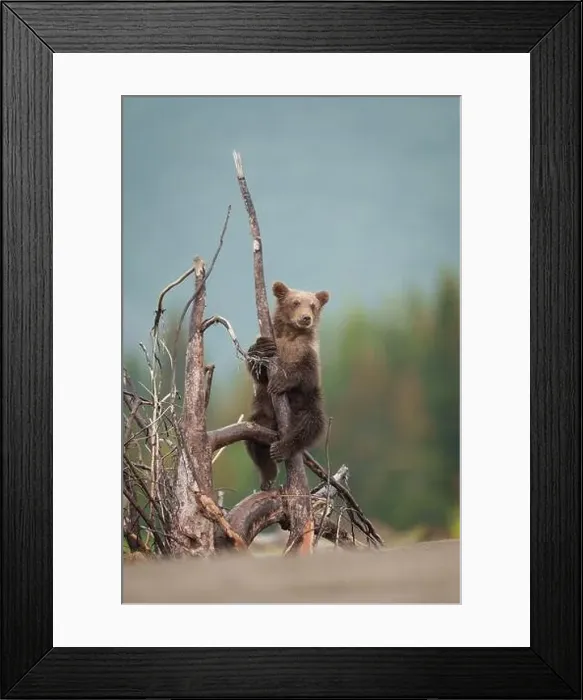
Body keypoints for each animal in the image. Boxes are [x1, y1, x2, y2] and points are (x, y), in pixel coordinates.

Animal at [244, 281, 330, 490]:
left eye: (313, 305)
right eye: (295, 302)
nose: (306, 318)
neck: (292, 335)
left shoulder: (308, 354)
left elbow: (305, 375)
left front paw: (280, 382)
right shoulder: (275, 343)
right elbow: (257, 371)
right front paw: (262, 348)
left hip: (307, 405)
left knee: (310, 424)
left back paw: (282, 448)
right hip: (263, 414)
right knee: (254, 439)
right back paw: (268, 474)